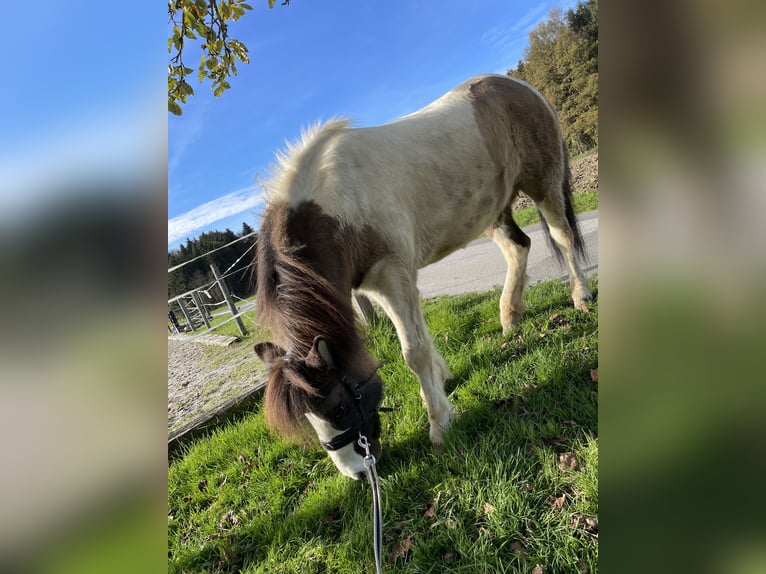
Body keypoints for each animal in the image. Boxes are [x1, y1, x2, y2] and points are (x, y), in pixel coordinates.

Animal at [255, 75, 592, 482]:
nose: (359, 474)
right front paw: (440, 382)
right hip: (491, 209)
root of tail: (518, 85)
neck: (335, 209)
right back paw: (510, 315)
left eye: (338, 409)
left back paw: (580, 296)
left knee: (562, 236)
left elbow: (413, 352)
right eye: (308, 418)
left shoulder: (392, 275)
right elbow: (424, 340)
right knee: (519, 248)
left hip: (543, 182)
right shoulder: (377, 284)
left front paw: (439, 423)